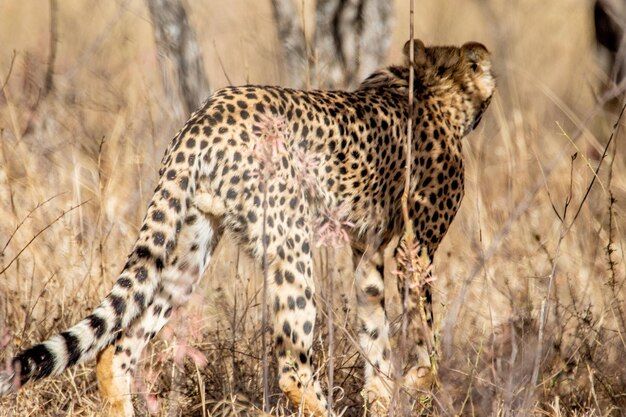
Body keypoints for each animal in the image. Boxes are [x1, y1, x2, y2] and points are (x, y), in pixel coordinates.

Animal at [0, 38, 492, 412]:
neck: (428, 84)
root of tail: (205, 115)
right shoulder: (417, 246)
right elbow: (424, 329)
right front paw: (420, 380)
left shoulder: (367, 250)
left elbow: (376, 334)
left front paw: (385, 395)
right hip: (290, 242)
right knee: (292, 366)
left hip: (191, 245)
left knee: (116, 348)